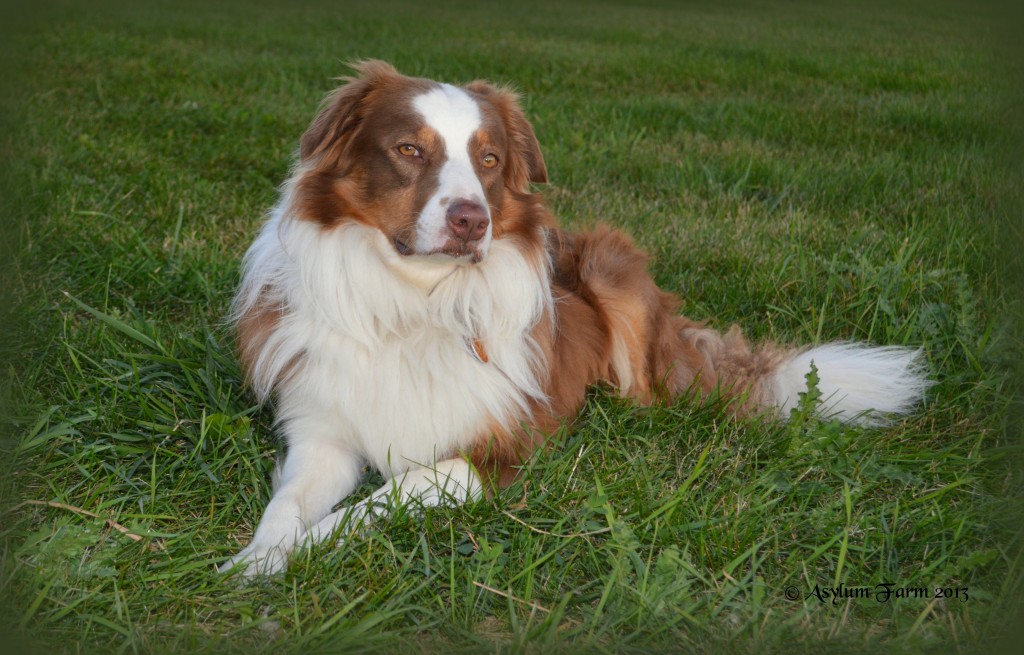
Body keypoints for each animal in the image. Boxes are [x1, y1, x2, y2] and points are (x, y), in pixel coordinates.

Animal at [220, 60, 933, 573]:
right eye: (408, 150)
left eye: (490, 160)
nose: (472, 220)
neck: (417, 301)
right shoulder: (324, 431)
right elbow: (288, 503)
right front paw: (258, 557)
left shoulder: (501, 450)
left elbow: (379, 500)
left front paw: (298, 550)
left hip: (611, 274)